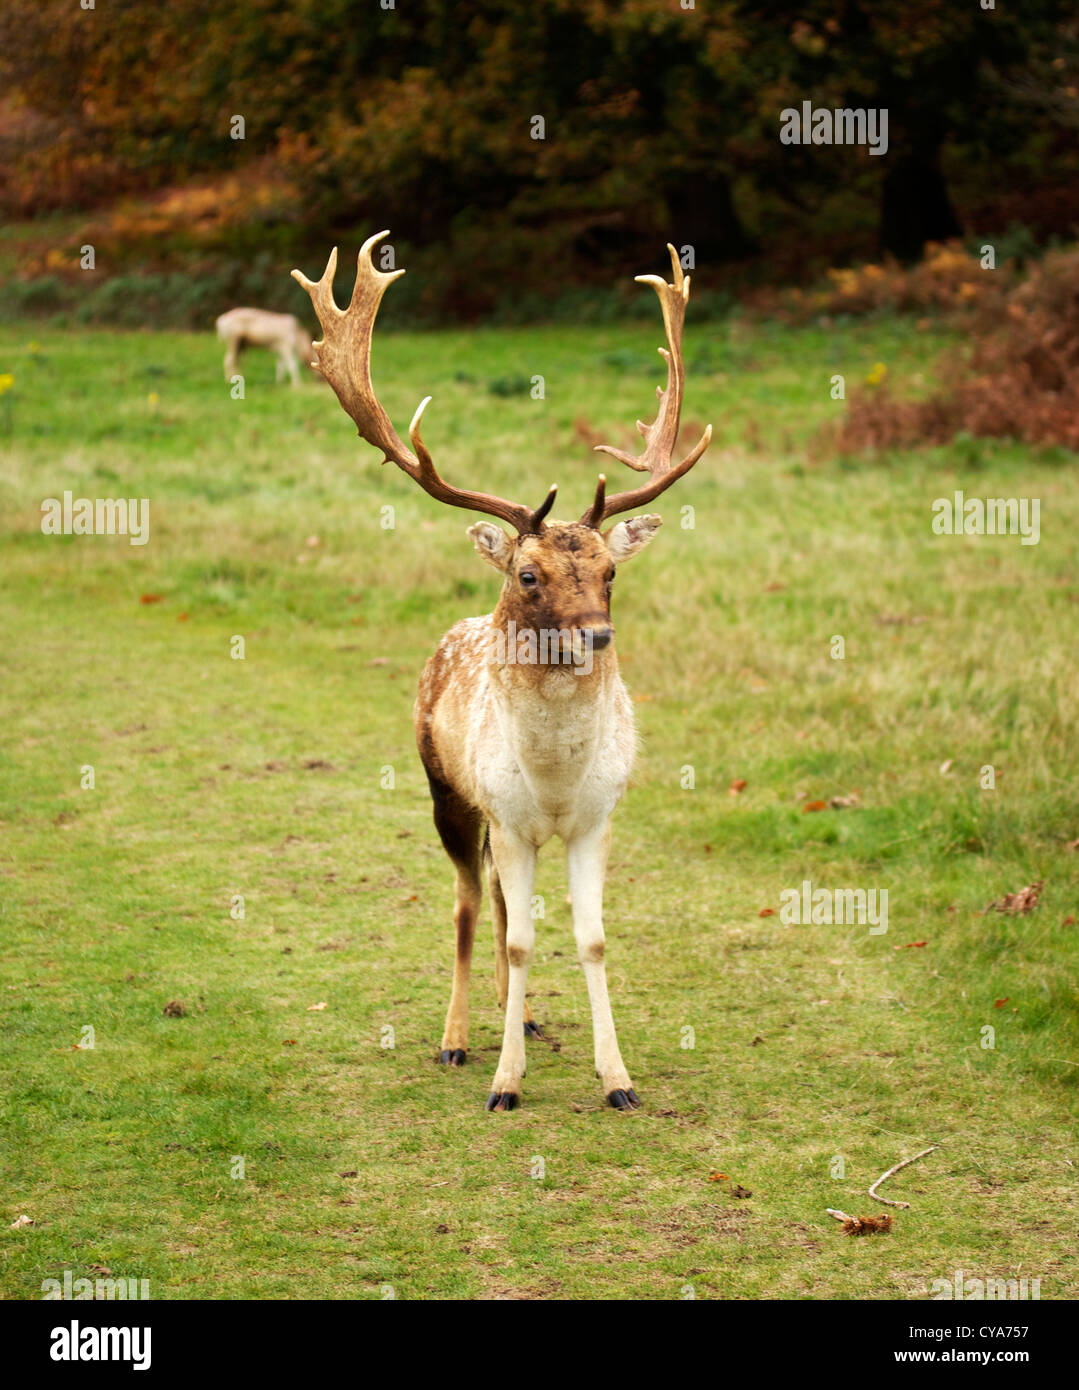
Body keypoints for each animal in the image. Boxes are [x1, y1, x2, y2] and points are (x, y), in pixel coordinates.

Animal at [290, 233, 711, 1112]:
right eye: (527, 574)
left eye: (610, 573)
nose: (597, 636)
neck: (551, 781)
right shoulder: (508, 816)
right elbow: (516, 938)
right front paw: (504, 1084)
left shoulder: (595, 818)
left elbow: (589, 938)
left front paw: (617, 1079)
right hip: (446, 790)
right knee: (467, 904)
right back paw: (457, 1039)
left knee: (498, 908)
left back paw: (514, 1018)